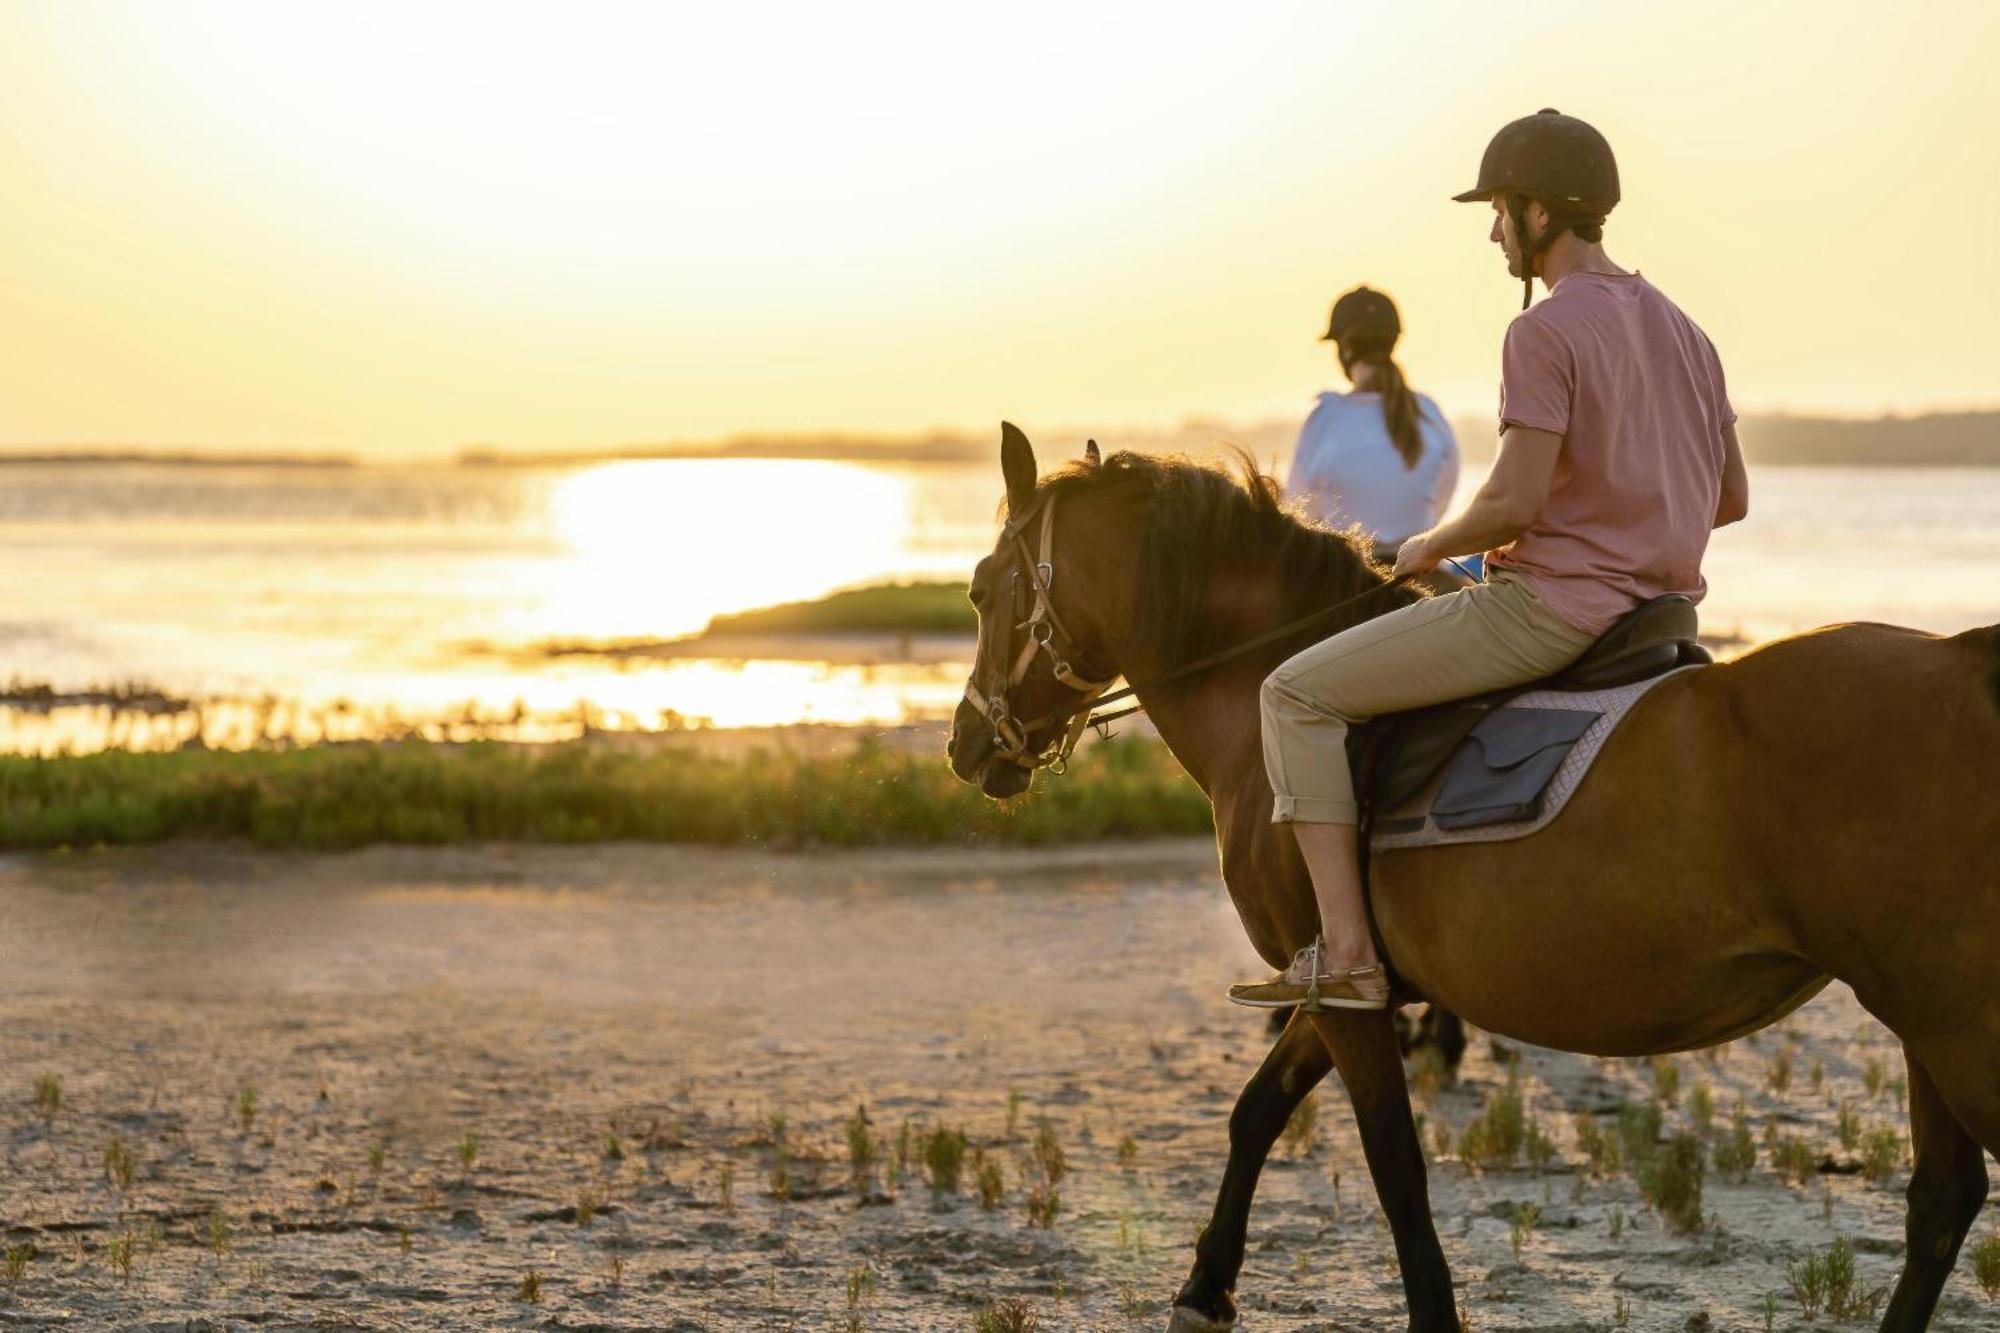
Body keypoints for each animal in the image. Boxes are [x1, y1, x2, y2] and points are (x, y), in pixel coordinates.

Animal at [944, 428, 1992, 1328]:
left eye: (983, 588)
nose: (963, 745)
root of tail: (1964, 662)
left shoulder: (1349, 999)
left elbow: (1395, 1165)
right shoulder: (1338, 984)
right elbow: (1256, 1114)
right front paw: (1206, 1288)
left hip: (1956, 1025)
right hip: (1926, 1025)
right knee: (1942, 1201)